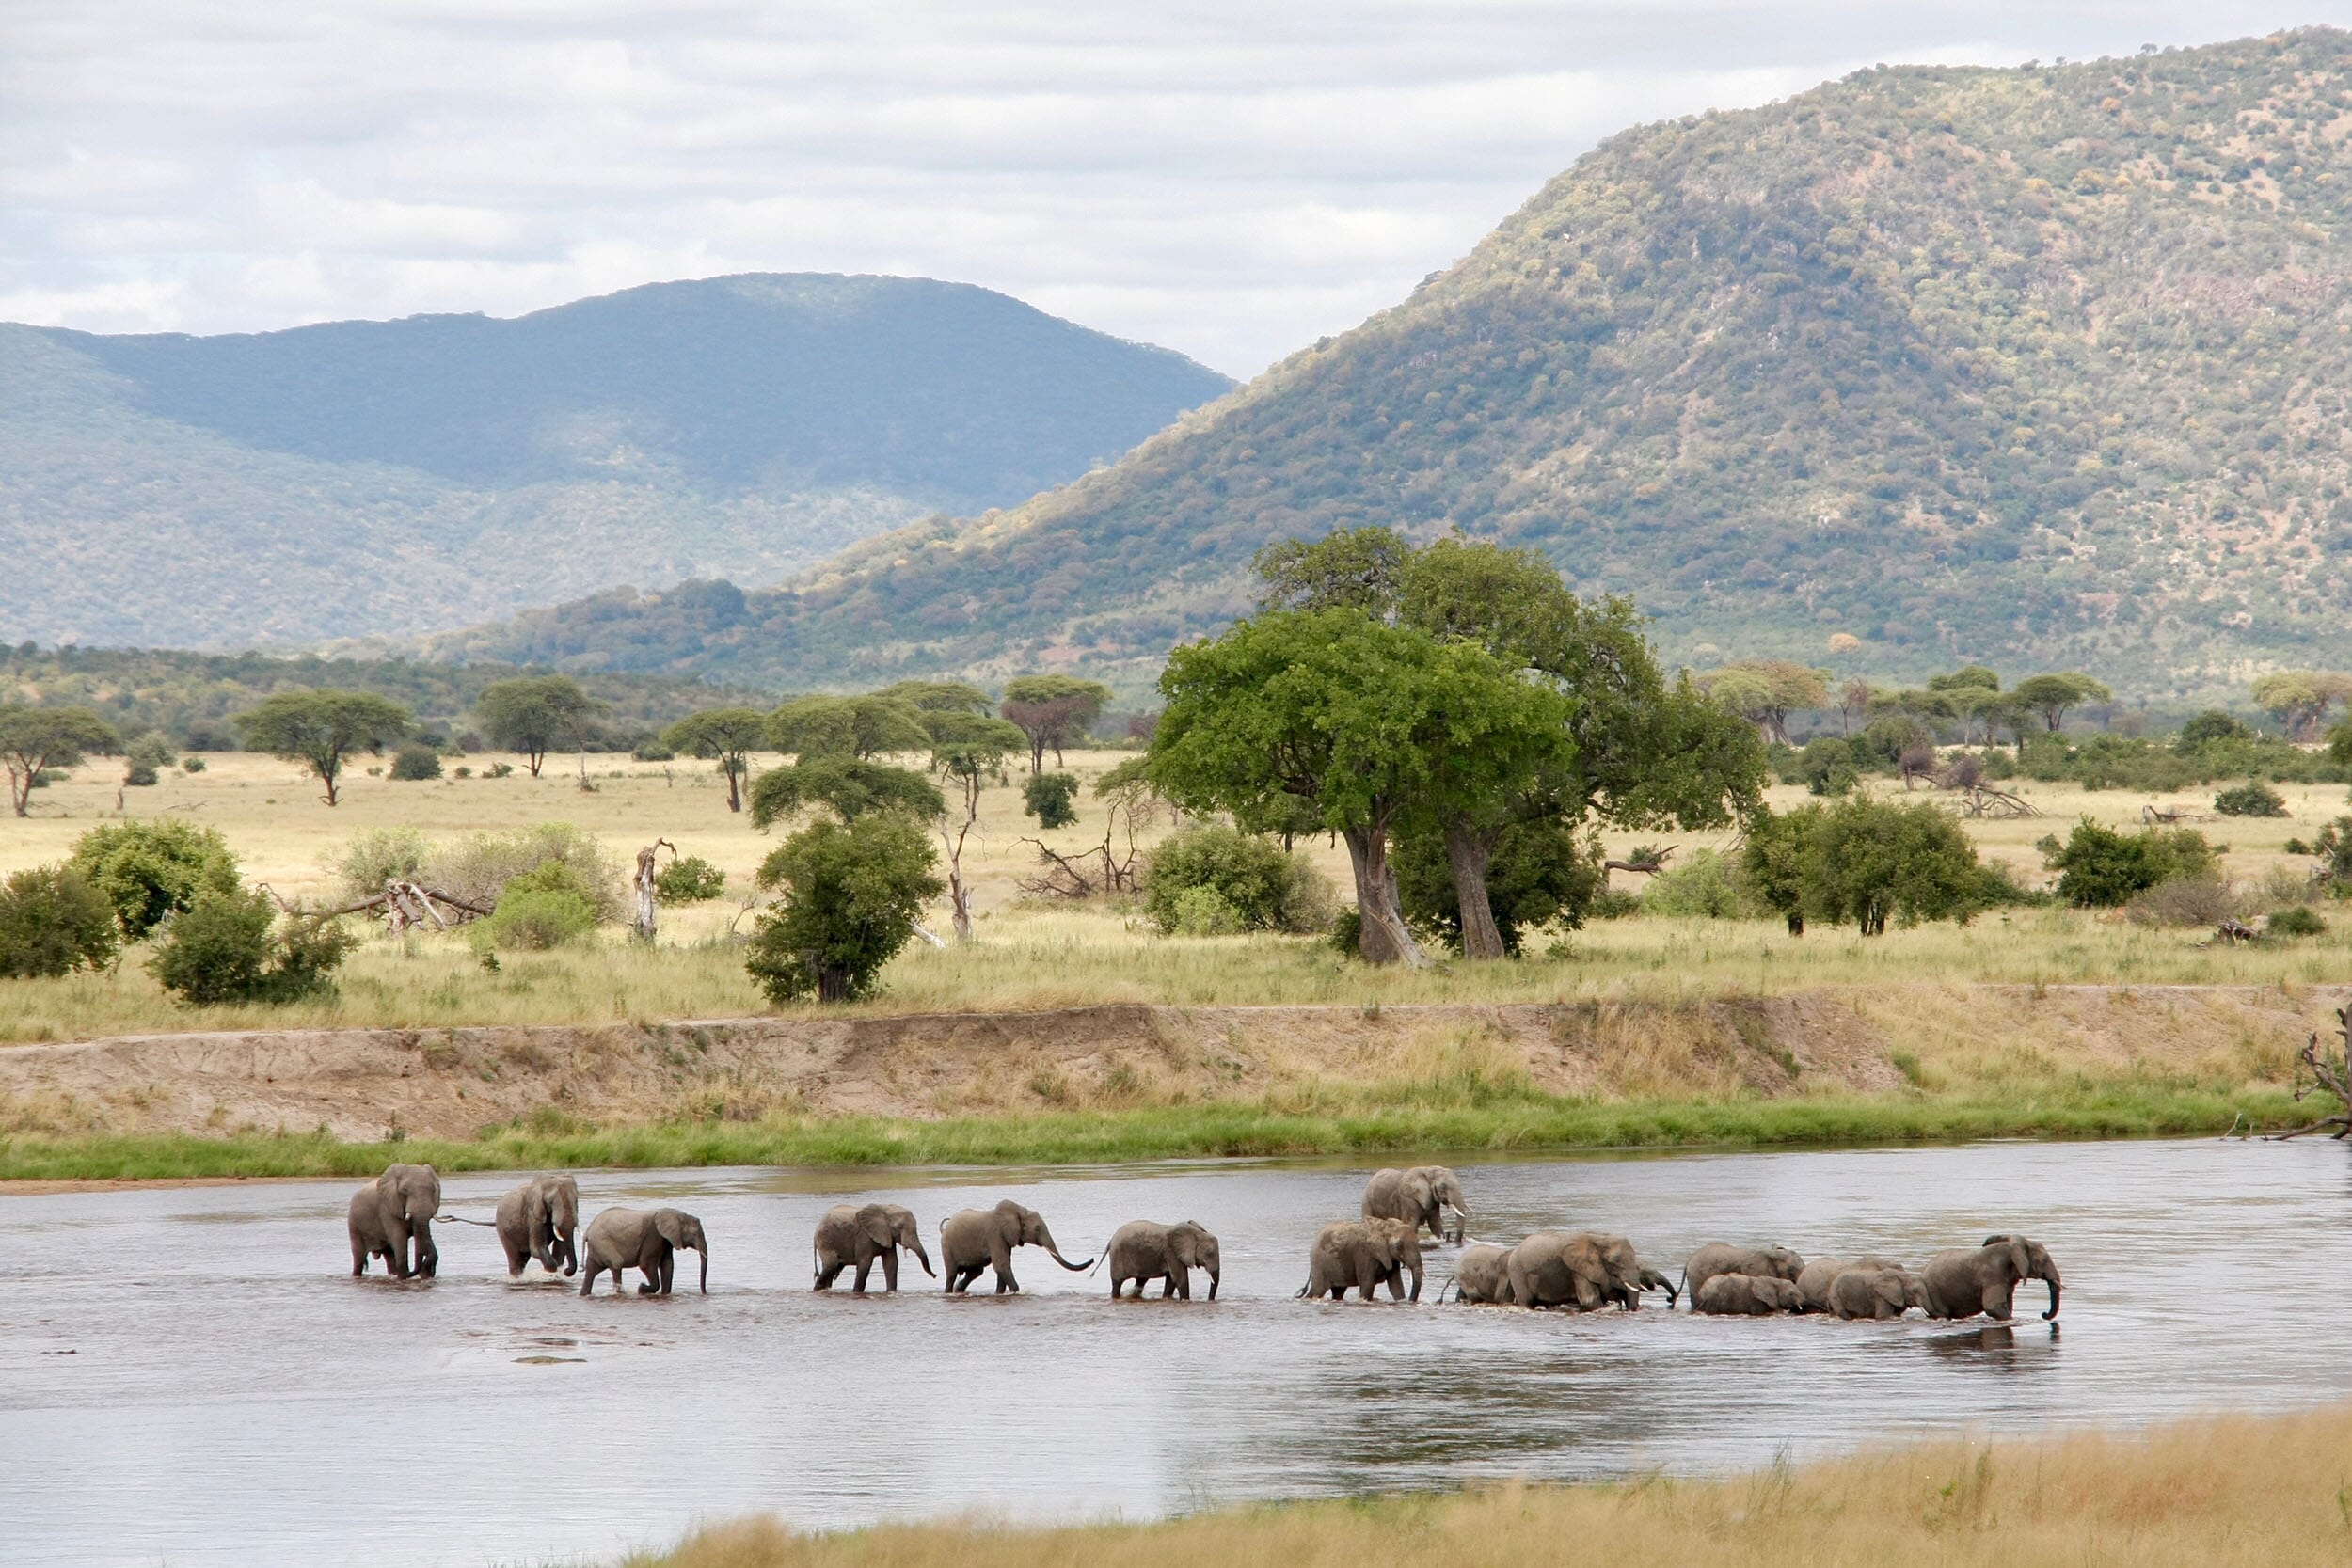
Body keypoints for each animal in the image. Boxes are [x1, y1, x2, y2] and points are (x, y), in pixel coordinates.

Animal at [579, 1206, 708, 1297]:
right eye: (695, 1233)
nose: (704, 1293)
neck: (678, 1214)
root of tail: (588, 1231)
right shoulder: (653, 1236)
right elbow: (646, 1264)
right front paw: (640, 1289)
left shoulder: (666, 1240)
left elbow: (667, 1265)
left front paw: (665, 1294)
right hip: (602, 1243)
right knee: (616, 1265)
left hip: (597, 1247)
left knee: (591, 1271)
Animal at [938, 1200, 1094, 1294]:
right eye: (1037, 1228)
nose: (1093, 1259)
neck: (1019, 1211)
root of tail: (944, 1228)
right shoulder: (995, 1235)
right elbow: (1002, 1265)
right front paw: (1017, 1293)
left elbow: (1003, 1266)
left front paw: (999, 1294)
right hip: (947, 1246)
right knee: (952, 1274)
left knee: (976, 1271)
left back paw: (959, 1290)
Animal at [1300, 1218, 1423, 1301]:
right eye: (1399, 1246)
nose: (1410, 1301)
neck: (1385, 1226)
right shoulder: (1364, 1254)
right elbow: (1367, 1285)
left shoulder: (1389, 1256)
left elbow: (1396, 1285)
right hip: (1319, 1263)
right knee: (1318, 1290)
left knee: (1338, 1291)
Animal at [1922, 1234, 2061, 1322]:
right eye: (2044, 1260)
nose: (2044, 1314)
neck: (2011, 1247)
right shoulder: (1993, 1275)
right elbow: (1993, 1307)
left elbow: (2008, 1305)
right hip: (1933, 1292)